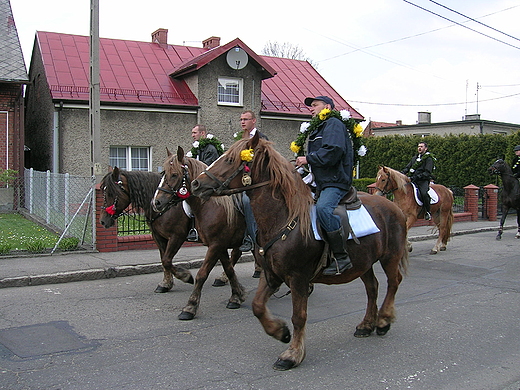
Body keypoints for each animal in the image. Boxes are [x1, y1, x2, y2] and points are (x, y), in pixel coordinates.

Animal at [151, 146, 253, 320]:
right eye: (163, 173)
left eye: (174, 174)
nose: (156, 202)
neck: (211, 205)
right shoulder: (219, 245)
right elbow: (229, 269)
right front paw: (236, 296)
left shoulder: (213, 245)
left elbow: (201, 274)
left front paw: (190, 306)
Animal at [189, 136, 408, 370]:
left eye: (230, 160)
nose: (196, 184)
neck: (283, 219)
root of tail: (394, 207)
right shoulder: (271, 275)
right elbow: (258, 306)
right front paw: (280, 332)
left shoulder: (298, 278)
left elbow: (299, 316)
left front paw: (292, 354)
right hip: (363, 263)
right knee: (372, 288)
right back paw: (366, 325)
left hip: (390, 257)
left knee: (393, 282)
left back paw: (383, 320)